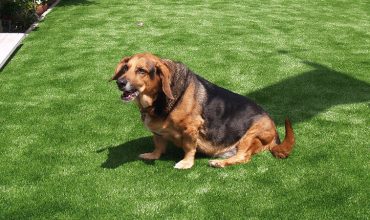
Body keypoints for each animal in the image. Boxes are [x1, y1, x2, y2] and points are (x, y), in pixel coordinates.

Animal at [110, 52, 294, 168]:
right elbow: (159, 145)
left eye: (141, 71)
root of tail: (275, 135)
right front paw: (153, 155)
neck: (158, 100)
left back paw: (219, 163)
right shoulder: (158, 132)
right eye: (126, 68)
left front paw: (186, 163)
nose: (120, 82)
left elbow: (189, 148)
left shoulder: (191, 129)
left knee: (243, 157)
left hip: (251, 134)